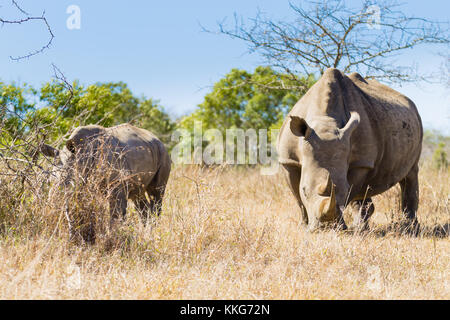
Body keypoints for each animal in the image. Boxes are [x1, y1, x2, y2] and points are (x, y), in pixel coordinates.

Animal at [278, 68, 422, 232]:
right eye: (304, 190)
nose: (325, 228)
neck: (324, 121)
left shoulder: (361, 162)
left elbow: (350, 192)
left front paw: (341, 228)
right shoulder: (288, 160)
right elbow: (298, 198)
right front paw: (303, 227)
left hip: (415, 122)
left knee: (411, 173)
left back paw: (409, 229)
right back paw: (364, 229)